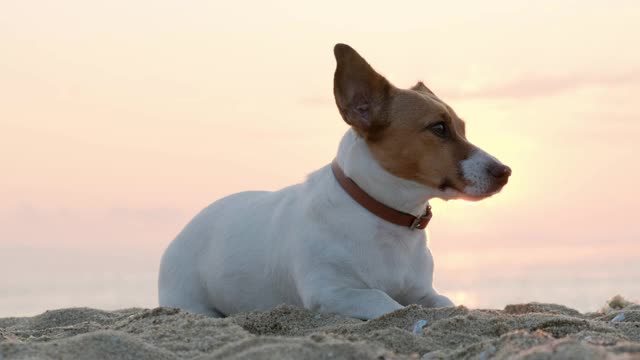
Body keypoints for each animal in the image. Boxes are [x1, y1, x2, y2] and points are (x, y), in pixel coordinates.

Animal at [158, 43, 512, 320]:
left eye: (462, 127)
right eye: (439, 128)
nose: (506, 171)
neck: (386, 218)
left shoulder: (424, 292)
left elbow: (448, 304)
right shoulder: (331, 291)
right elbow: (385, 301)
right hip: (189, 300)